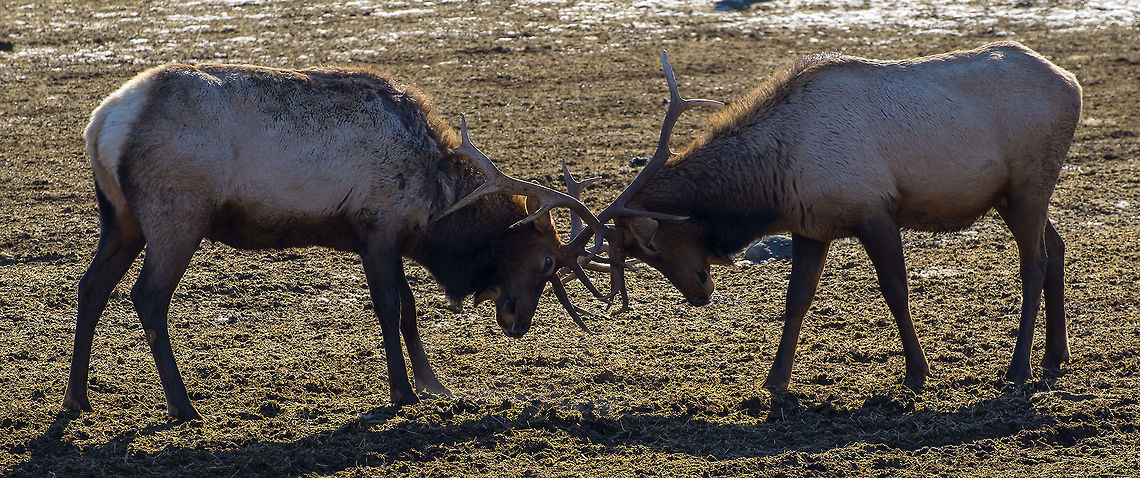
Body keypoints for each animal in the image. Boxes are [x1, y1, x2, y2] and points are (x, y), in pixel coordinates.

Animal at [66, 62, 607, 421]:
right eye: (545, 263)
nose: (518, 322)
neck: (438, 204)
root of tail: (101, 125)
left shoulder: (381, 237)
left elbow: (409, 307)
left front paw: (433, 383)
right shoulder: (379, 225)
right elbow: (391, 306)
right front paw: (403, 392)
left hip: (122, 218)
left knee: (90, 287)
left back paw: (77, 399)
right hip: (177, 213)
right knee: (147, 296)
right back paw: (183, 406)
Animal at [565, 43, 1081, 390]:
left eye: (647, 245)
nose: (699, 292)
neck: (771, 182)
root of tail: (1072, 83)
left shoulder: (876, 209)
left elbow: (896, 291)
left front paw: (917, 372)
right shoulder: (810, 226)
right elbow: (796, 300)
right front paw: (775, 381)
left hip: (1030, 182)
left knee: (1033, 262)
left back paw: (1018, 367)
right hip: (1010, 196)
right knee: (1056, 248)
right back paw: (1056, 355)